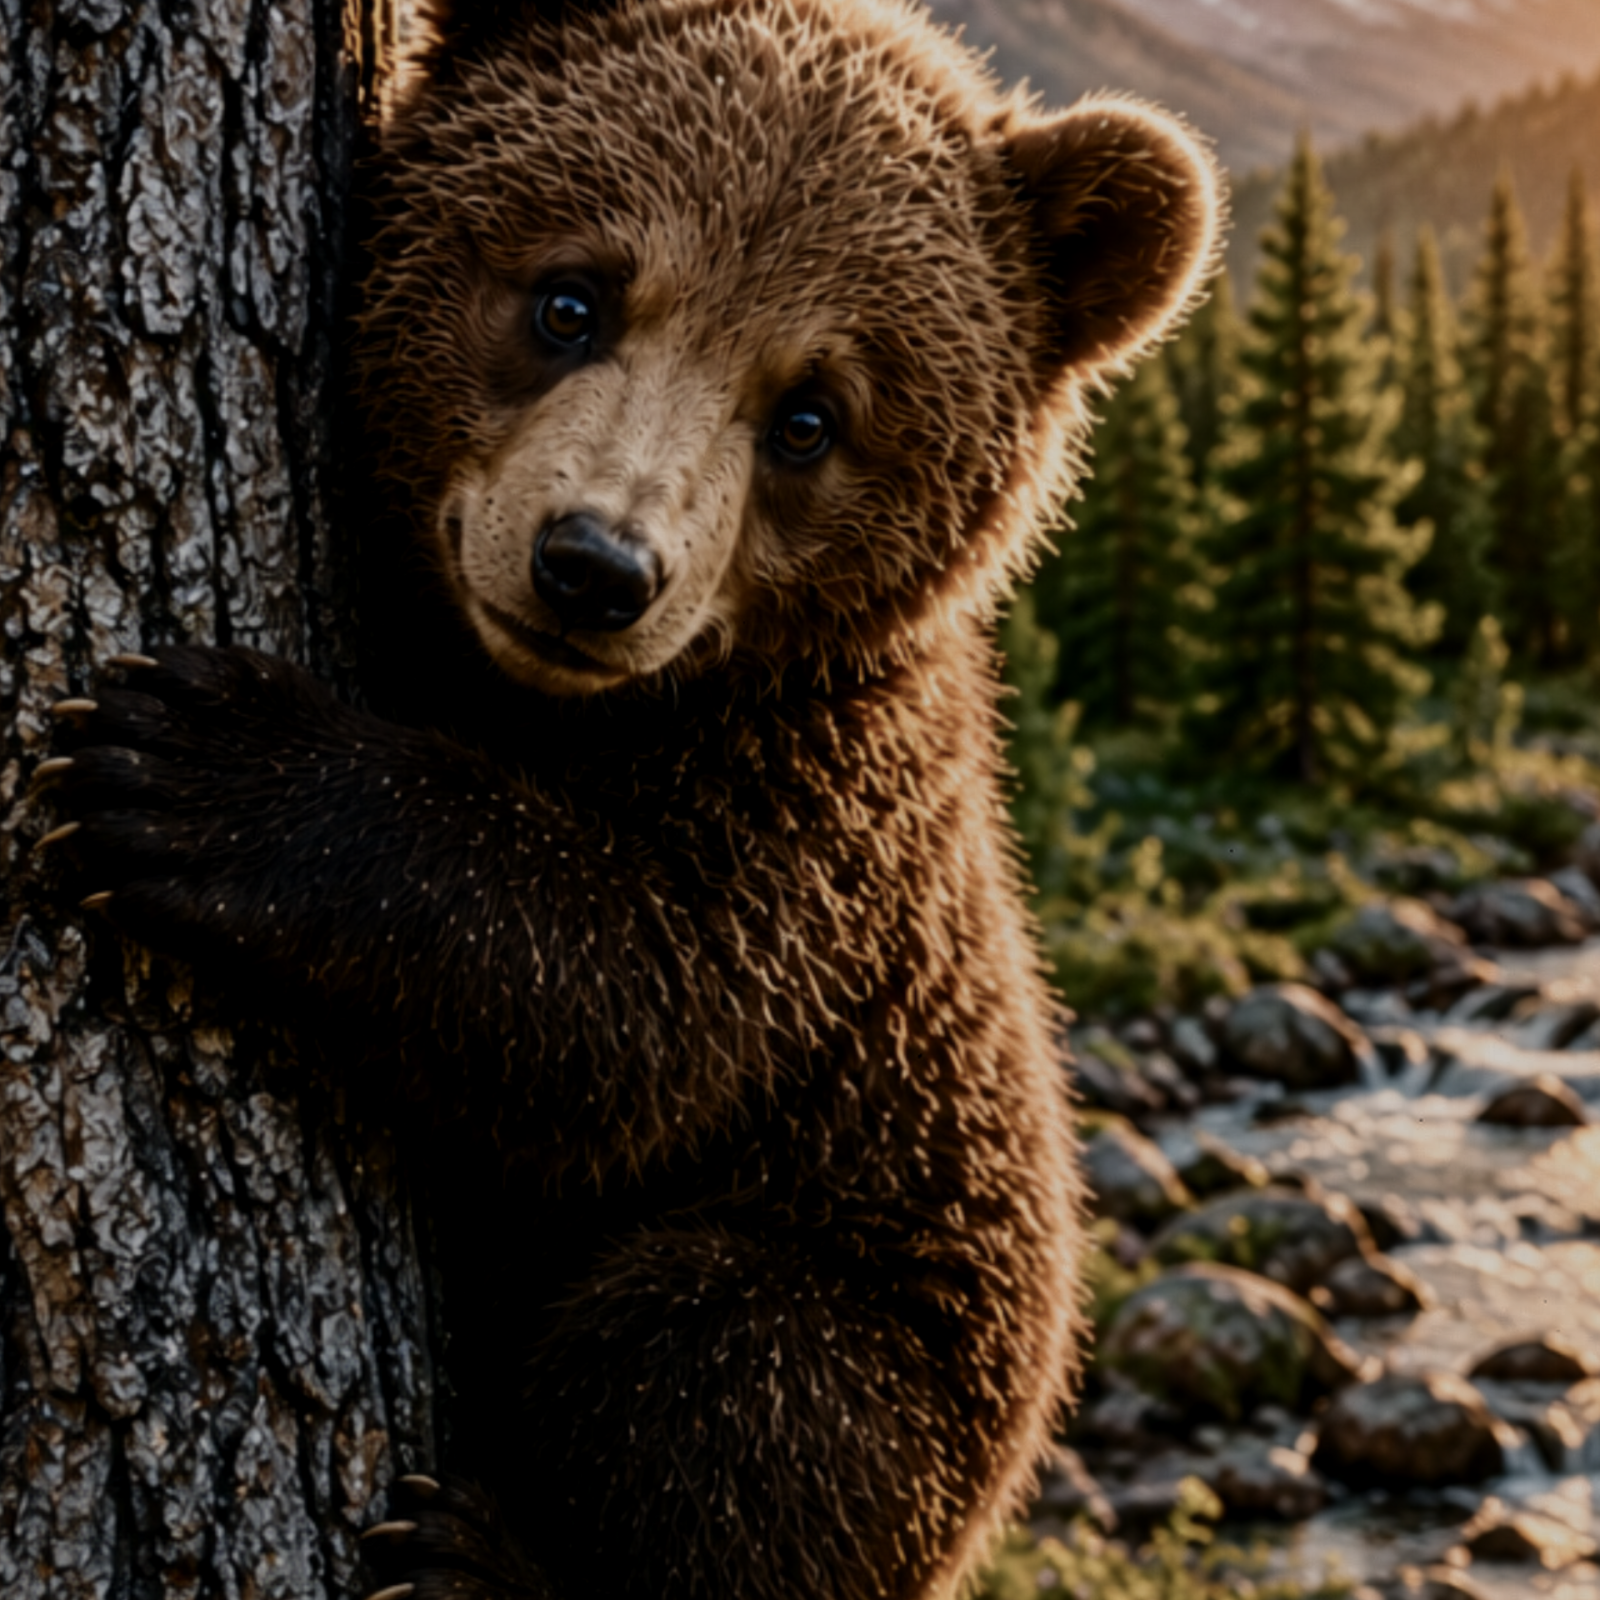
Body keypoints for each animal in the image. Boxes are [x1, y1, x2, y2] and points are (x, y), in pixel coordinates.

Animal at [40, 0, 1220, 1596]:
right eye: (572, 299)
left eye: (811, 413)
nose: (595, 567)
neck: (533, 699)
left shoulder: (824, 816)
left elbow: (635, 1007)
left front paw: (189, 758)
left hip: (907, 1305)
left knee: (714, 1364)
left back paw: (480, 1552)